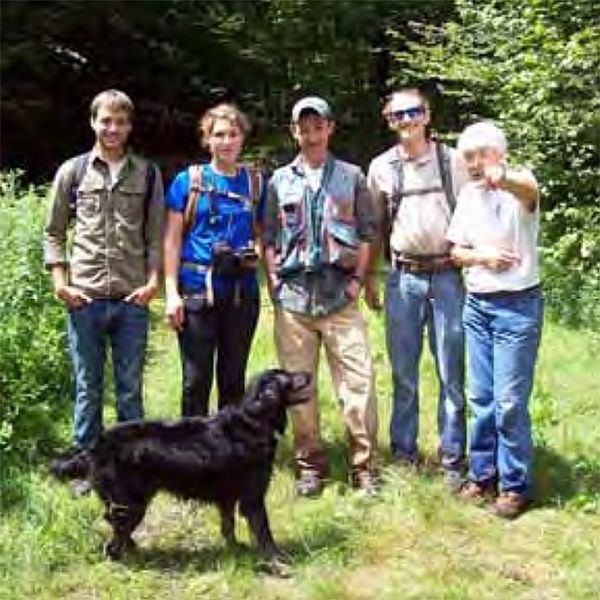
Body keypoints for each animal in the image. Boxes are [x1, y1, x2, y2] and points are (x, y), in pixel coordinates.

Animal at [50, 370, 310, 564]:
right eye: (288, 376)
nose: (308, 373)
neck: (253, 421)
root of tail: (96, 447)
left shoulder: (227, 496)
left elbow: (228, 525)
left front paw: (236, 548)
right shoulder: (253, 497)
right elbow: (265, 532)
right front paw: (278, 561)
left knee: (113, 523)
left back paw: (133, 547)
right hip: (131, 503)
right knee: (114, 536)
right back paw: (125, 557)